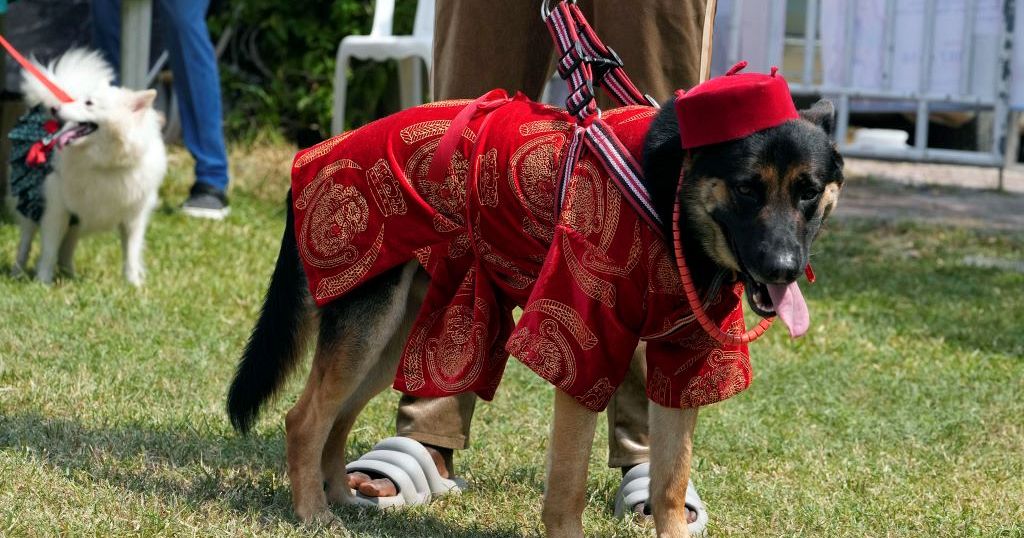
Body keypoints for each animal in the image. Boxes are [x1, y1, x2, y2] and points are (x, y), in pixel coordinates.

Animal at [11, 49, 167, 284]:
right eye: (78, 100)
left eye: (89, 103)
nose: (56, 108)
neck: (103, 163)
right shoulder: (56, 209)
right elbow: (48, 251)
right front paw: (43, 282)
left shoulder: (134, 216)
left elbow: (131, 253)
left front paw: (134, 284)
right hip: (32, 208)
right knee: (25, 244)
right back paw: (18, 272)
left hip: (75, 222)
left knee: (66, 250)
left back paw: (69, 275)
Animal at [228, 98, 843, 532]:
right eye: (746, 189)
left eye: (809, 191)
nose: (785, 268)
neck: (668, 196)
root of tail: (317, 155)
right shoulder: (582, 350)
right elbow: (567, 489)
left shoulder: (681, 365)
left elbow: (669, 487)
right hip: (366, 324)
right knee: (304, 418)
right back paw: (312, 512)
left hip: (388, 340)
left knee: (336, 419)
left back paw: (340, 497)